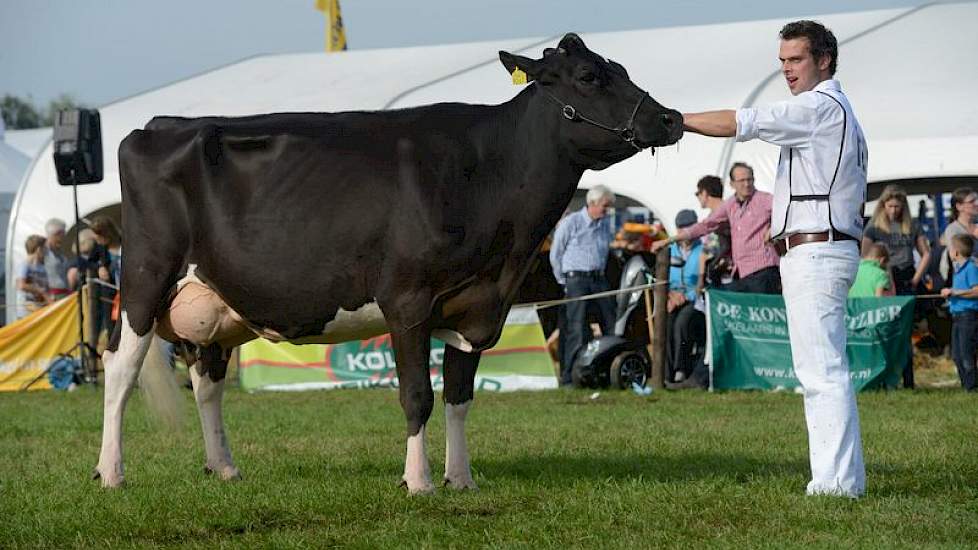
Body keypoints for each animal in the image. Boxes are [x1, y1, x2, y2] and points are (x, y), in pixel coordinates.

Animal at [95, 32, 684, 494]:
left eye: (621, 70)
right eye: (589, 76)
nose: (670, 117)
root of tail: (159, 124)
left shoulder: (476, 307)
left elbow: (460, 396)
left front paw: (461, 479)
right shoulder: (407, 300)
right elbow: (417, 395)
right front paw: (418, 482)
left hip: (214, 302)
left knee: (207, 379)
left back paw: (223, 468)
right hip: (146, 276)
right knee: (120, 368)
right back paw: (111, 472)